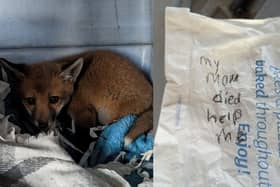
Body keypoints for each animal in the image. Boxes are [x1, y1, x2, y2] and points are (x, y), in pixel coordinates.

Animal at [0, 50, 153, 145]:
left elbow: (83, 137)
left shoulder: (83, 112)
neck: (75, 86)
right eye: (30, 100)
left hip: (108, 116)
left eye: (53, 99)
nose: (42, 125)